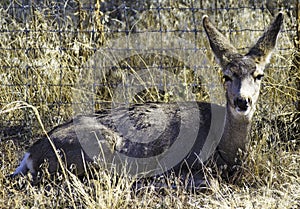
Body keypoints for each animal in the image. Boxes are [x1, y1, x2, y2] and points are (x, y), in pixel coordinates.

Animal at [9, 12, 284, 187]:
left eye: (259, 75)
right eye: (226, 76)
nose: (242, 101)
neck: (226, 145)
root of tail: (31, 154)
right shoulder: (195, 162)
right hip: (99, 147)